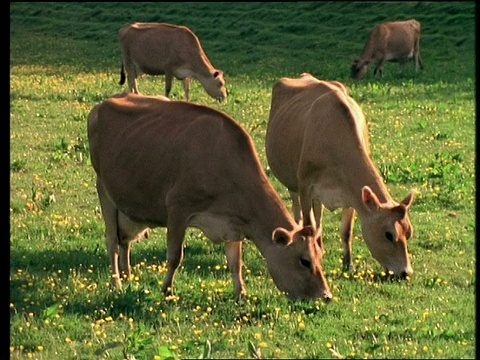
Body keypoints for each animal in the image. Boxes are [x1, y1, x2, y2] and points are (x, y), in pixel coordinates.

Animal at [87, 91, 334, 300]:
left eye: (320, 256)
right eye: (304, 261)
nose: (326, 295)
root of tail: (102, 105)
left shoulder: (233, 224)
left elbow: (235, 262)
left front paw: (241, 294)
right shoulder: (177, 208)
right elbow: (175, 256)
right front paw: (167, 290)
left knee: (124, 242)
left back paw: (128, 275)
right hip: (104, 188)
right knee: (111, 240)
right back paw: (117, 283)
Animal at [264, 72, 414, 276]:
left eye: (409, 232)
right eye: (389, 234)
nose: (406, 273)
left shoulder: (351, 194)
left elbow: (346, 231)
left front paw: (348, 264)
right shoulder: (305, 185)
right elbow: (308, 223)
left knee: (318, 215)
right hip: (291, 179)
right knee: (298, 212)